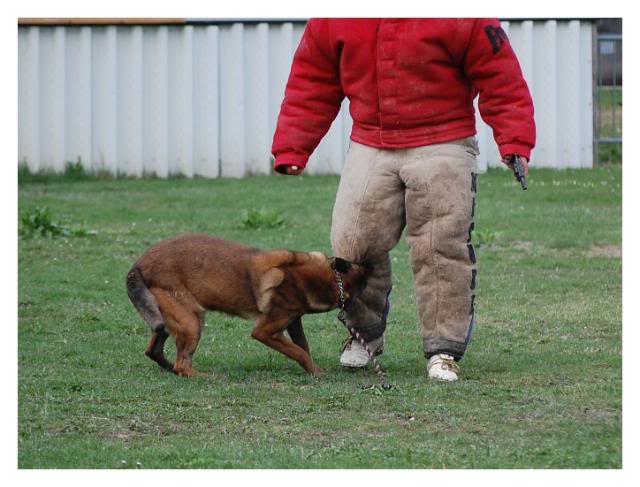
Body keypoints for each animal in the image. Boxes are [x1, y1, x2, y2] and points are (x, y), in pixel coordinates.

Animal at [126, 234, 370, 380]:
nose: (371, 262)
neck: (328, 279)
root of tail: (139, 265)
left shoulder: (293, 320)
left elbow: (303, 346)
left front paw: (313, 369)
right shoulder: (264, 331)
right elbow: (298, 351)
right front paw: (315, 372)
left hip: (168, 318)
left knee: (154, 351)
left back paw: (169, 368)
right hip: (191, 320)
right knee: (182, 365)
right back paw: (207, 376)